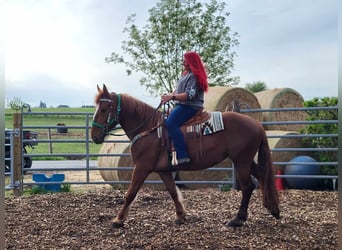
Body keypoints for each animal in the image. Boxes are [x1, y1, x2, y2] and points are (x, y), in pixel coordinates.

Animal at [91, 84, 280, 229]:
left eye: (104, 109)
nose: (94, 136)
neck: (149, 128)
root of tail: (256, 123)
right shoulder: (164, 171)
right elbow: (173, 192)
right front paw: (181, 216)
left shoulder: (141, 167)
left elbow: (130, 193)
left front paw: (118, 220)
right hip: (247, 161)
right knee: (261, 177)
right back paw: (274, 210)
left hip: (241, 161)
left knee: (248, 187)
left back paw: (238, 219)